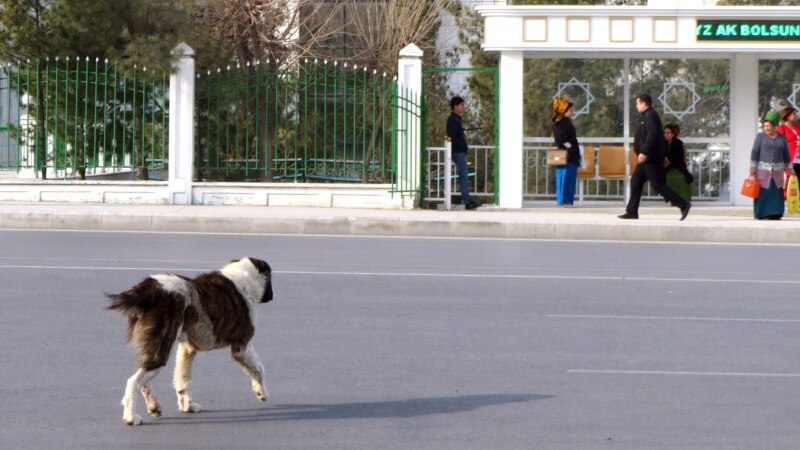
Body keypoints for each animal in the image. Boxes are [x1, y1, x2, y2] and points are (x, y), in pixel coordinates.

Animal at [107, 256, 276, 426]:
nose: (272, 297)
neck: (244, 278)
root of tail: (149, 288)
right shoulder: (242, 347)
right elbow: (259, 369)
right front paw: (262, 393)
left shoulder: (188, 349)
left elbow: (182, 379)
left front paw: (186, 406)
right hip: (162, 347)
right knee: (133, 381)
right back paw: (130, 417)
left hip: (157, 348)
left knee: (144, 379)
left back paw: (153, 406)